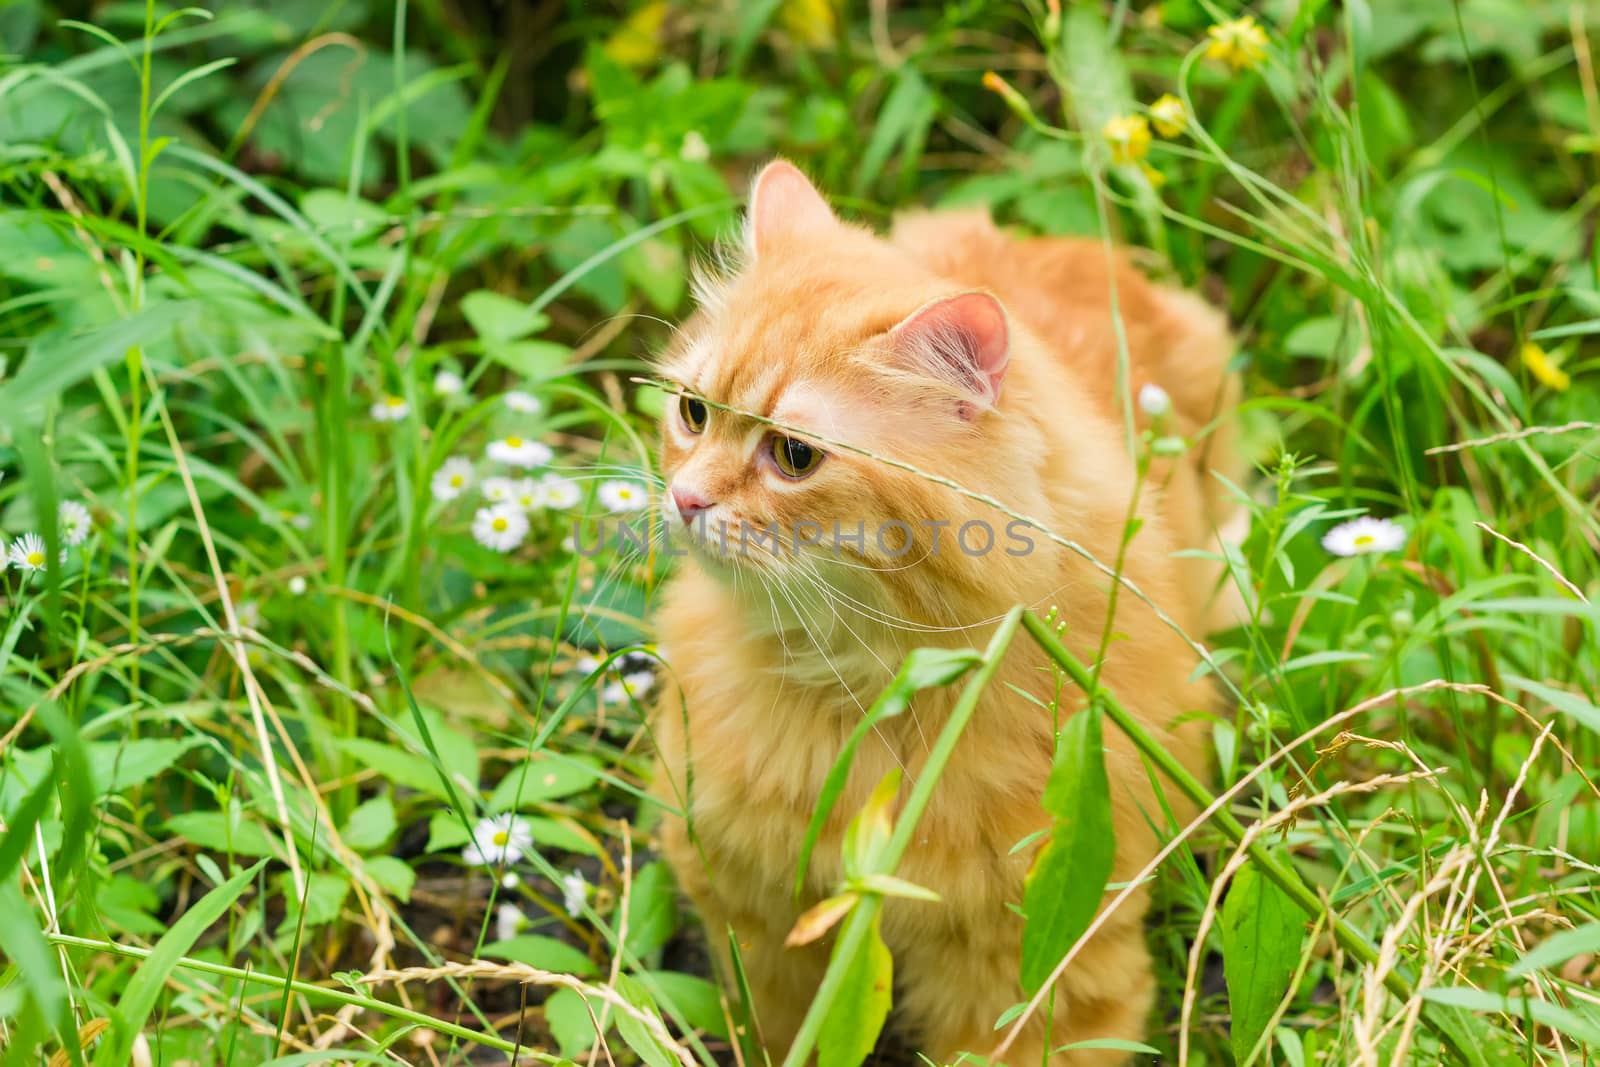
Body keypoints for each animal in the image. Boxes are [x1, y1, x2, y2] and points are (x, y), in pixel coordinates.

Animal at [646, 160, 1235, 1067]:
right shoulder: (756, 916)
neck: (858, 687)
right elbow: (781, 1030)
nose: (685, 497)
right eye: (694, 412)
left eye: (793, 456)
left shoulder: (1038, 956)